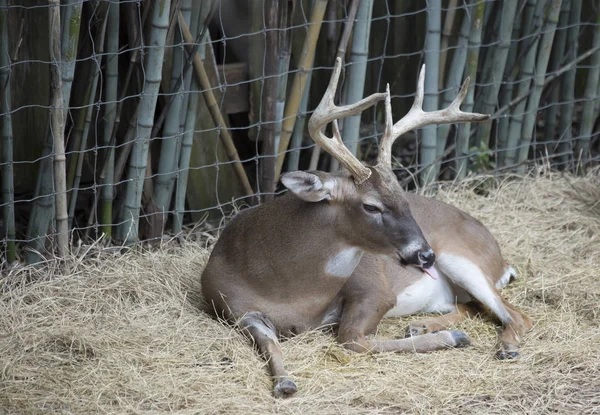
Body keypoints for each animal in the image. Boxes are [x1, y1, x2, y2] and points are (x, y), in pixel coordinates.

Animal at [202, 57, 492, 398]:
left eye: (403, 194)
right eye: (371, 206)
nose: (426, 255)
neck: (287, 289)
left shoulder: (376, 290)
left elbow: (352, 339)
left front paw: (453, 337)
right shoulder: (234, 308)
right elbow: (270, 343)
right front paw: (285, 381)